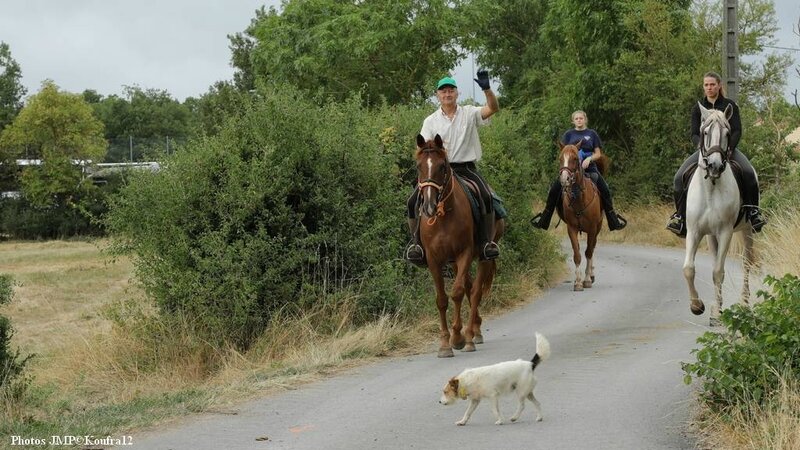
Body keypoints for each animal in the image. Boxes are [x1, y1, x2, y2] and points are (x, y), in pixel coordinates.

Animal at [412, 134, 506, 358]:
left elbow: (456, 293)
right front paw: (444, 344)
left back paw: (471, 336)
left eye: (441, 166)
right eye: (419, 166)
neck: (443, 215)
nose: (428, 206)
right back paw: (476, 330)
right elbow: (442, 299)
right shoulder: (434, 260)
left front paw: (457, 338)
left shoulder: (465, 253)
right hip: (454, 262)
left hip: (483, 257)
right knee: (470, 288)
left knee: (475, 291)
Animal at [560, 142, 604, 292]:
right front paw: (578, 283)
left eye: (575, 159)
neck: (579, 199)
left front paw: (586, 280)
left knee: (592, 248)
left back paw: (591, 275)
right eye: (560, 158)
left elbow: (588, 252)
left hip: (597, 228)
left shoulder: (592, 229)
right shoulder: (571, 228)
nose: (564, 179)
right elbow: (577, 254)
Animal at [684, 103, 752, 326]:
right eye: (705, 132)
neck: (711, 187)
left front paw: (716, 312)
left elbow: (717, 272)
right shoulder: (694, 232)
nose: (714, 165)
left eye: (727, 133)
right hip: (710, 236)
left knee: (747, 264)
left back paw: (744, 304)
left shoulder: (725, 233)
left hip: (747, 231)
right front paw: (698, 307)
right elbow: (689, 269)